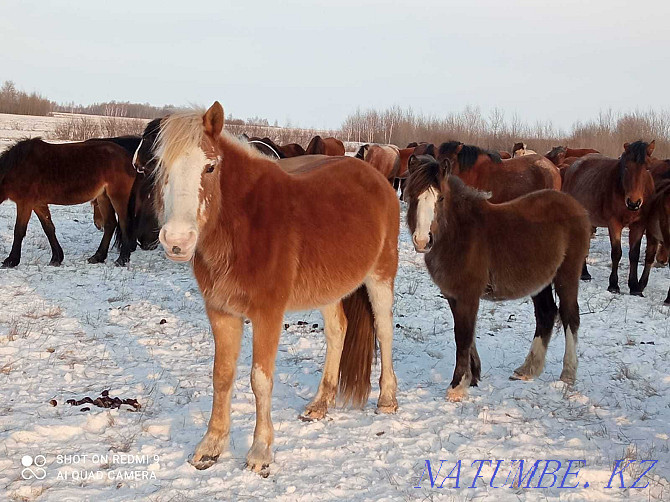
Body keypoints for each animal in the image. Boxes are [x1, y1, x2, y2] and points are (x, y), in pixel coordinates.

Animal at [0, 137, 137, 266]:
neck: (18, 168)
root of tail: (128, 158)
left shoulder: (25, 203)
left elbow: (19, 230)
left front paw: (11, 261)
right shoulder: (38, 204)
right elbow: (49, 228)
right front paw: (56, 258)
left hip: (117, 196)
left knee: (124, 223)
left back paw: (122, 259)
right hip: (103, 198)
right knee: (110, 224)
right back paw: (98, 257)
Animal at [154, 103, 400, 474]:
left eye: (210, 167)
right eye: (162, 167)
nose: (177, 242)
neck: (245, 224)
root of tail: (377, 177)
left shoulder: (267, 314)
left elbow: (260, 380)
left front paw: (260, 452)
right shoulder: (221, 312)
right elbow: (221, 376)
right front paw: (211, 447)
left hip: (381, 275)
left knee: (384, 330)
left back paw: (387, 399)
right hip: (329, 288)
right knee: (338, 331)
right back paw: (320, 403)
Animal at [406, 156, 592, 400]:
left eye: (441, 198)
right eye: (412, 196)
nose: (422, 241)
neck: (460, 234)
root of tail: (577, 207)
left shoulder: (467, 296)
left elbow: (462, 336)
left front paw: (457, 386)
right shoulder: (454, 296)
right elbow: (468, 334)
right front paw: (472, 377)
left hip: (567, 275)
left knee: (570, 316)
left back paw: (568, 374)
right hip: (540, 281)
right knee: (546, 314)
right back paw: (528, 369)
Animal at [564, 139, 660, 294]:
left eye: (647, 168)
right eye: (626, 167)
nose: (633, 203)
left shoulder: (639, 225)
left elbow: (634, 254)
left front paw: (634, 287)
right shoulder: (614, 223)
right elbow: (616, 253)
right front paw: (613, 285)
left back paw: (585, 273)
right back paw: (583, 274)